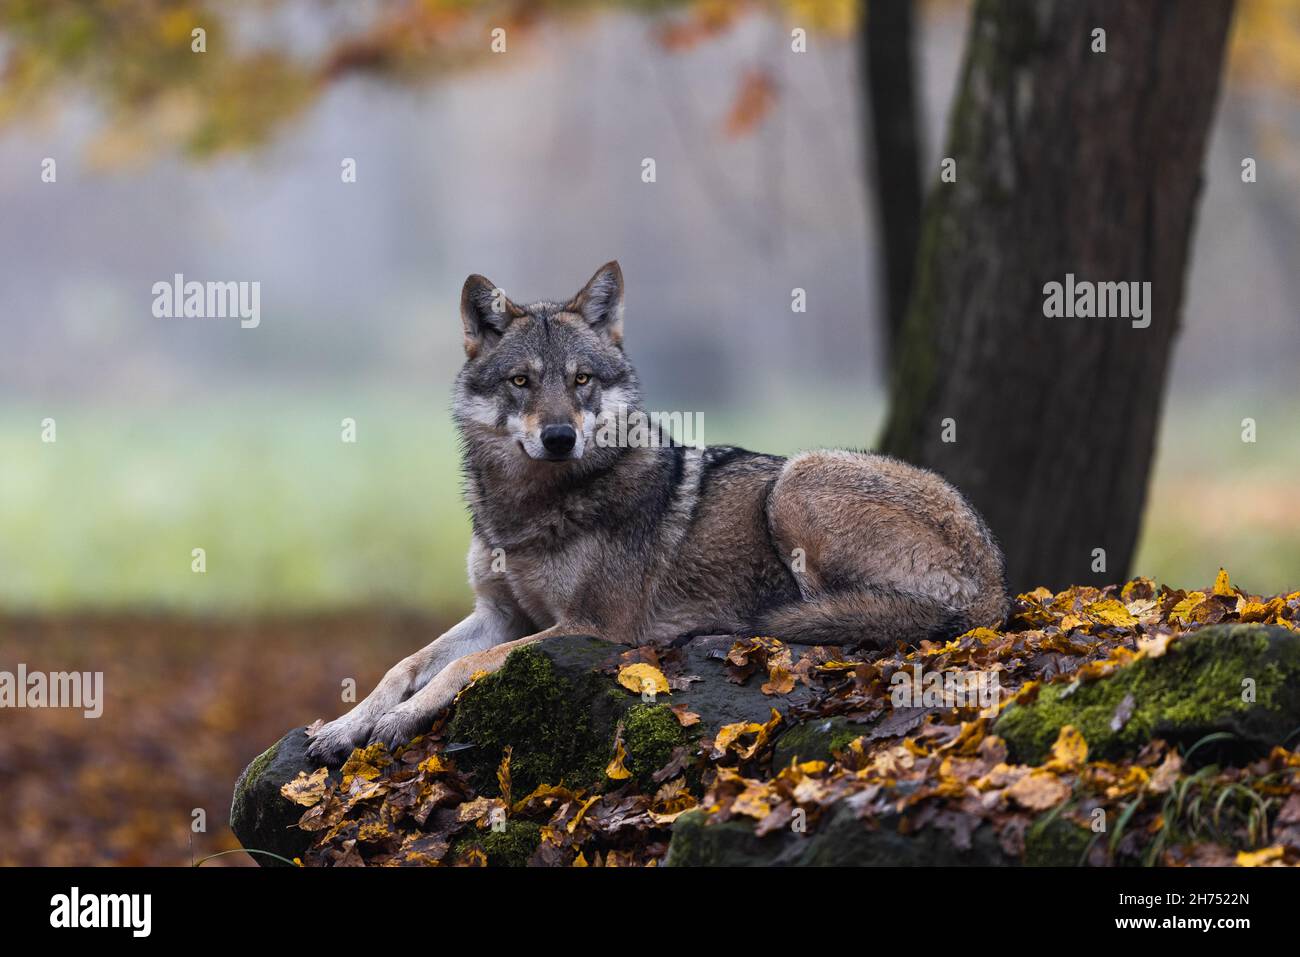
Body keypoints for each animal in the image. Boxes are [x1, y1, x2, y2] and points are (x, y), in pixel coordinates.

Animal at [306, 262, 1008, 763]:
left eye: (582, 379)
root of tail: (996, 585)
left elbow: (462, 667)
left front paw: (399, 720)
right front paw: (344, 726)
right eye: (521, 382)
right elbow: (405, 664)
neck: (527, 510)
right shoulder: (500, 613)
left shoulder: (589, 628)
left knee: (846, 621)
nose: (559, 437)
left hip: (796, 481)